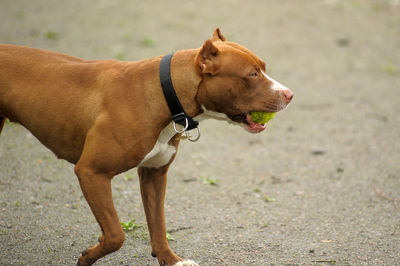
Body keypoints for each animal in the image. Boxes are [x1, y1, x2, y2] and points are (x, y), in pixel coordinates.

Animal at [0, 28, 294, 264]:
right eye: (252, 74)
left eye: (263, 67)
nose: (290, 94)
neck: (165, 94)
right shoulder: (92, 172)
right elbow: (115, 235)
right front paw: (87, 257)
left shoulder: (154, 174)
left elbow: (158, 225)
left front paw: (172, 261)